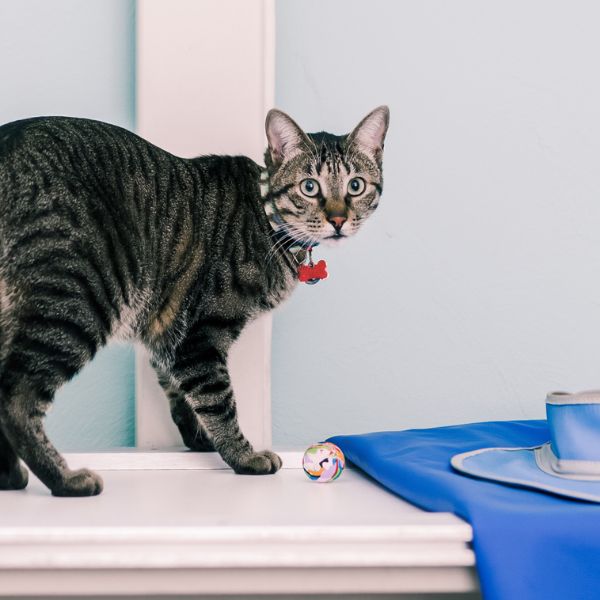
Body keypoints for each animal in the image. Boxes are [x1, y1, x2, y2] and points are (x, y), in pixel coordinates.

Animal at [0, 105, 390, 494]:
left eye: (355, 186)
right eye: (310, 187)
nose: (338, 219)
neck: (267, 220)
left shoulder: (165, 333)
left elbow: (181, 394)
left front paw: (200, 438)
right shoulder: (201, 335)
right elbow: (218, 399)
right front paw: (242, 455)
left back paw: (10, 476)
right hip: (79, 298)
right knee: (15, 399)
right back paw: (64, 479)